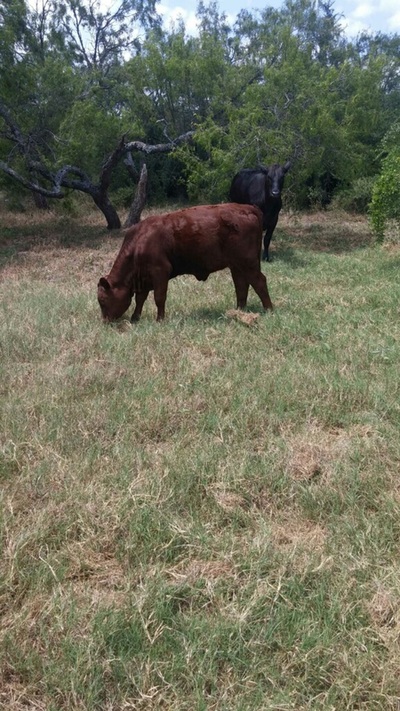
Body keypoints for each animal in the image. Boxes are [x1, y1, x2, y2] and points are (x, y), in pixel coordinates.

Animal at [97, 203, 273, 323]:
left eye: (102, 300)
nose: (105, 322)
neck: (139, 242)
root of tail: (246, 207)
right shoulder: (143, 278)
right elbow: (140, 299)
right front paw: (135, 318)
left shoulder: (160, 271)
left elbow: (159, 297)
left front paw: (159, 320)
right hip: (237, 265)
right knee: (241, 285)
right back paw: (239, 311)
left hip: (247, 262)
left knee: (259, 281)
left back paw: (268, 309)